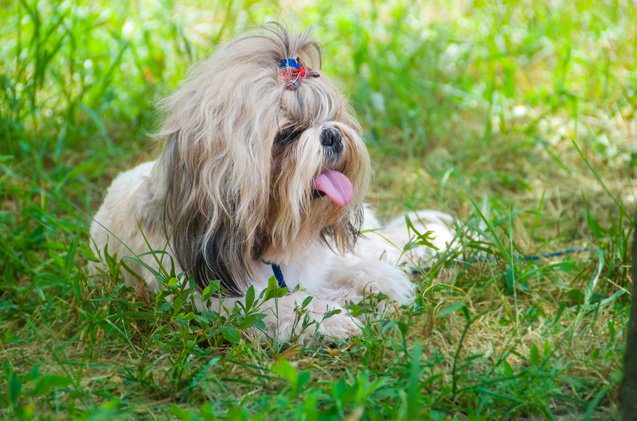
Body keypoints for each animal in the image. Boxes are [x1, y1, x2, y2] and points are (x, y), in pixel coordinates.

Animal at [90, 24, 458, 342]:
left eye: (330, 116)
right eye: (288, 134)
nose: (331, 134)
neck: (274, 246)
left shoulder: (326, 261)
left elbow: (354, 268)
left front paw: (377, 281)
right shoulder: (222, 302)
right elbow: (284, 305)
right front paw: (333, 318)